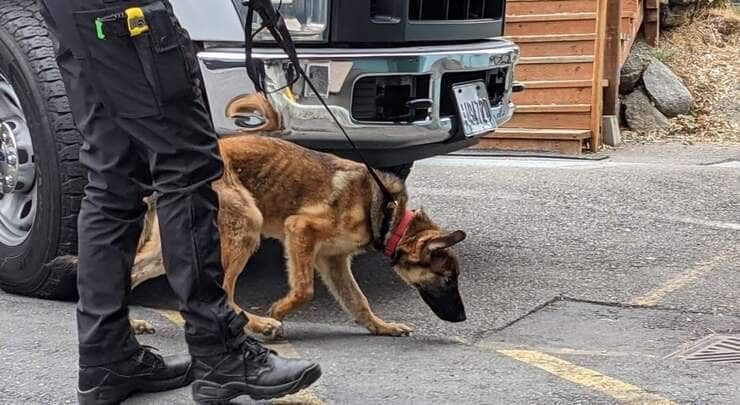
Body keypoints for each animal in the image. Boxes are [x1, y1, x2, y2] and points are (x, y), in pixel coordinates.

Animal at [62, 134, 468, 336]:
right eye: (447, 279)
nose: (463, 318)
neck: (389, 215)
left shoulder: (333, 261)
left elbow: (358, 301)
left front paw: (380, 328)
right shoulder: (300, 231)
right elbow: (304, 289)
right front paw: (279, 311)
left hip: (173, 246)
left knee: (131, 272)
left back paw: (128, 325)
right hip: (246, 226)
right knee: (225, 293)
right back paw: (258, 324)